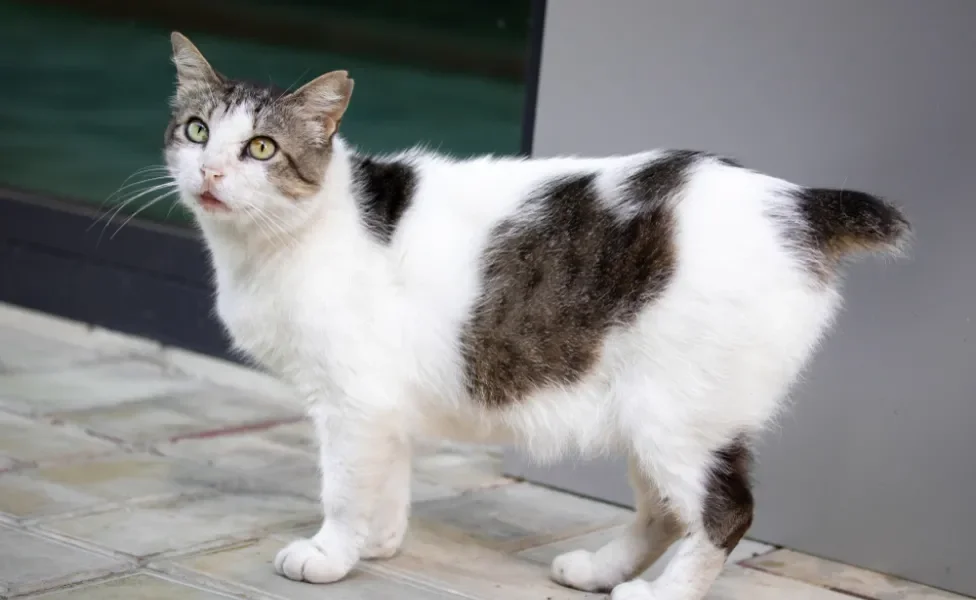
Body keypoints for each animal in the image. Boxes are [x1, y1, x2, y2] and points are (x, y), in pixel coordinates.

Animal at [164, 32, 912, 600]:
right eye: (197, 132)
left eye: (261, 148)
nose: (210, 173)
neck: (290, 234)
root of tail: (800, 203)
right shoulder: (382, 405)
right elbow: (388, 476)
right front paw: (377, 543)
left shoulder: (351, 400)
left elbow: (343, 486)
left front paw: (331, 553)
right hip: (649, 412)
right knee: (665, 512)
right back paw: (599, 571)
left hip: (677, 412)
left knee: (725, 511)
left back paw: (658, 593)